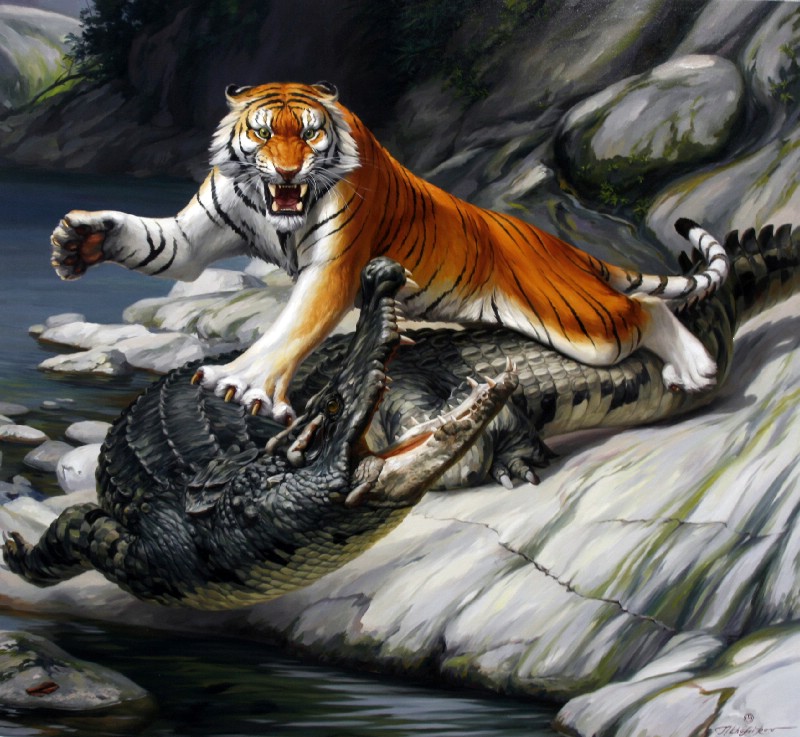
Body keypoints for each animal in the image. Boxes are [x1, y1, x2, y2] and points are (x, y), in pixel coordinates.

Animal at [51, 81, 729, 423]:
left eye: (310, 134)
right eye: (263, 133)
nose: (288, 172)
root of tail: (555, 243)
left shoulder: (334, 265)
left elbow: (290, 328)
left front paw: (241, 382)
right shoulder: (196, 236)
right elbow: (157, 242)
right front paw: (79, 239)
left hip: (579, 322)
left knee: (642, 311)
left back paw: (694, 366)